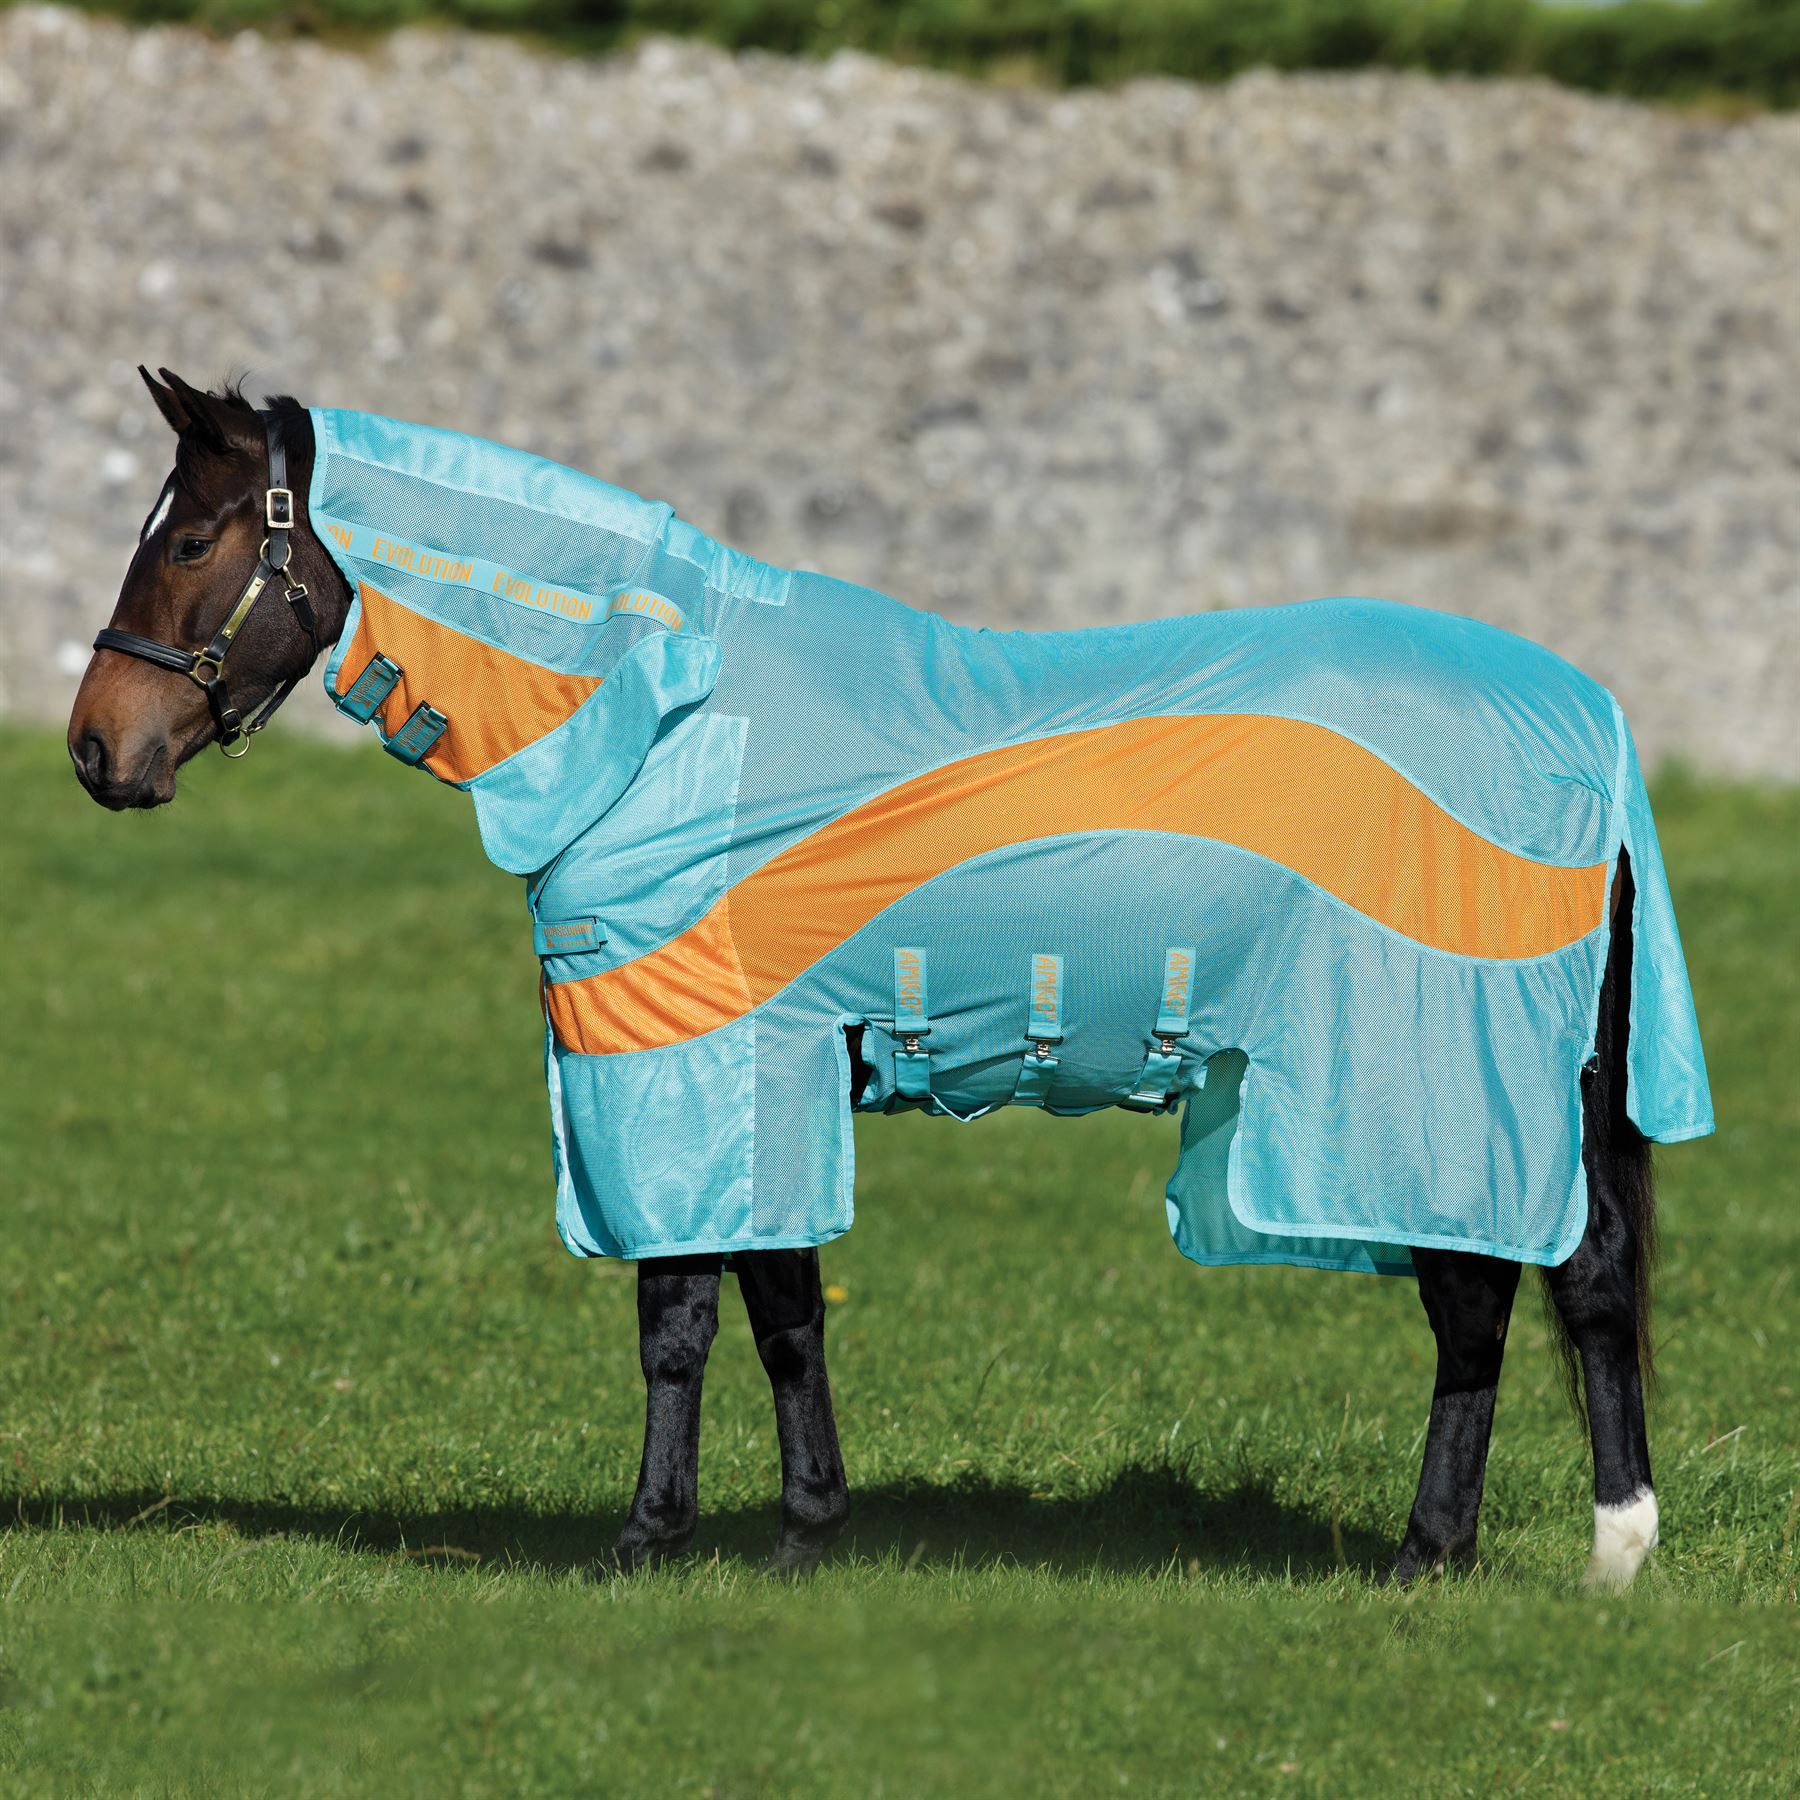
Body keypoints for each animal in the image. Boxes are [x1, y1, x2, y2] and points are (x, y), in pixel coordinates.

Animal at [68, 370, 1711, 1587]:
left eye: (194, 540)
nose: (97, 749)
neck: (672, 717)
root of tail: (1590, 720)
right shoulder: (752, 1064)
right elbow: (780, 1308)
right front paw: (804, 1529)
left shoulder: (705, 1057)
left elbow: (688, 1316)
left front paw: (656, 1537)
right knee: (1560, 1286)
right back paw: (1585, 1550)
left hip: (1428, 1078)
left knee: (1499, 1295)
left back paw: (1462, 1552)